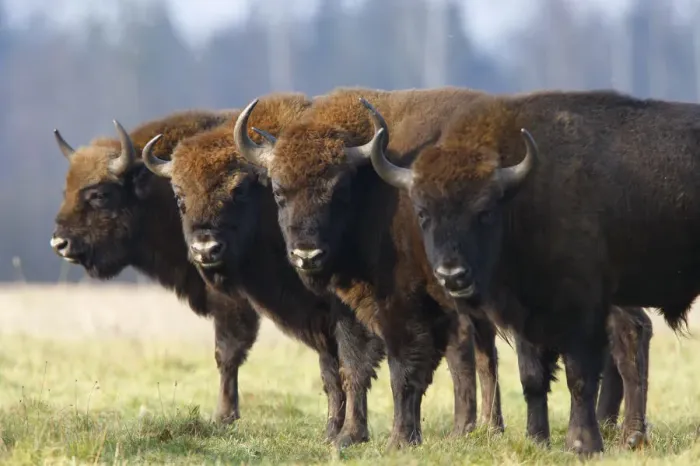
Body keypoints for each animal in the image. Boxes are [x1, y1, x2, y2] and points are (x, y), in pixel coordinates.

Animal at [51, 110, 261, 424]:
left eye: (100, 194)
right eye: (67, 191)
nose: (59, 243)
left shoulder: (230, 300)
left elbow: (227, 352)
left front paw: (223, 416)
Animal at [367, 90, 690, 454]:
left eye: (484, 211)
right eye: (422, 212)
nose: (452, 275)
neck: (522, 199)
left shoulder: (582, 311)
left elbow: (579, 377)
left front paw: (581, 444)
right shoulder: (524, 317)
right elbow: (532, 378)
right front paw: (537, 439)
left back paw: (630, 436)